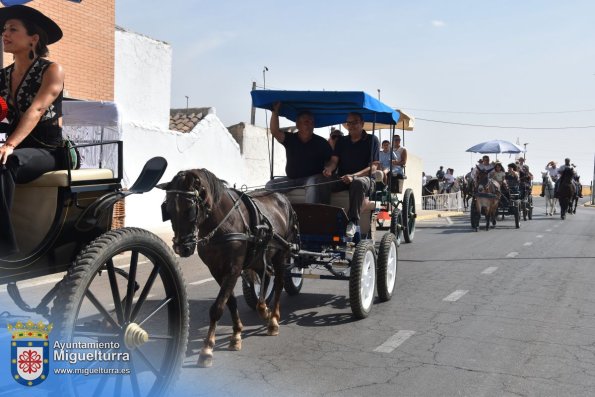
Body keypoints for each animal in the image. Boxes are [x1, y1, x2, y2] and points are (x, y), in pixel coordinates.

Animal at [158, 167, 300, 366]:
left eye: (190, 210)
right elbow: (230, 301)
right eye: (168, 210)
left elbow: (217, 307)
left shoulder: (233, 269)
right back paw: (263, 309)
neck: (224, 222)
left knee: (279, 283)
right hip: (259, 256)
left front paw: (207, 349)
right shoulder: (217, 271)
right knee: (266, 277)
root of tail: (283, 198)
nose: (182, 248)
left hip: (282, 252)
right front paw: (236, 334)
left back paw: (273, 320)